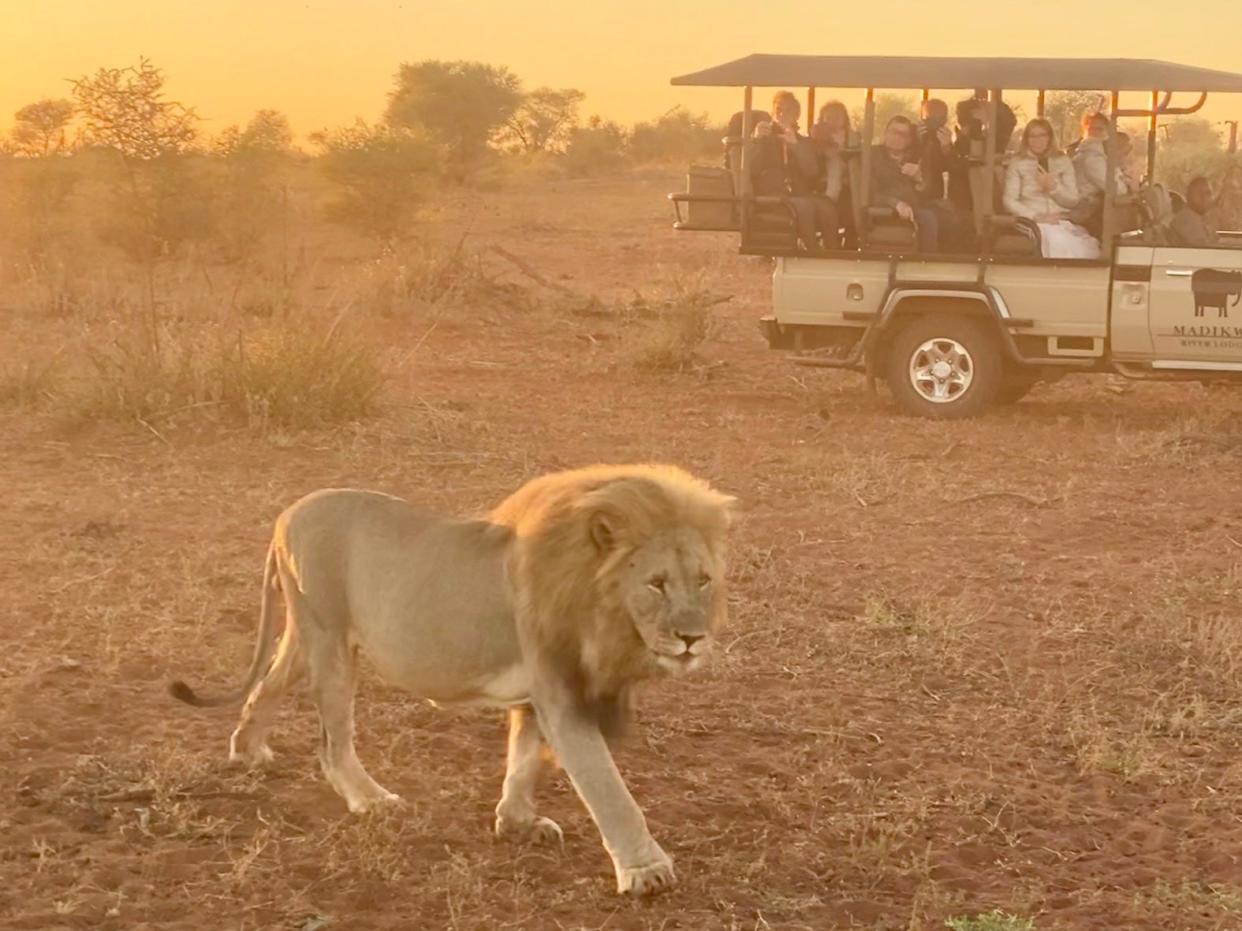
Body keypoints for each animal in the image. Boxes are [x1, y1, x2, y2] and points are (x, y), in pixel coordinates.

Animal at [168, 464, 730, 898]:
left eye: (703, 580)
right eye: (656, 584)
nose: (692, 638)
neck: (599, 603)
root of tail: (289, 513)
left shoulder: (538, 694)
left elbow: (525, 758)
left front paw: (516, 822)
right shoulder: (562, 693)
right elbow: (607, 788)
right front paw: (646, 871)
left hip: (306, 633)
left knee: (267, 684)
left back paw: (247, 750)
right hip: (329, 638)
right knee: (332, 741)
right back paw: (370, 799)